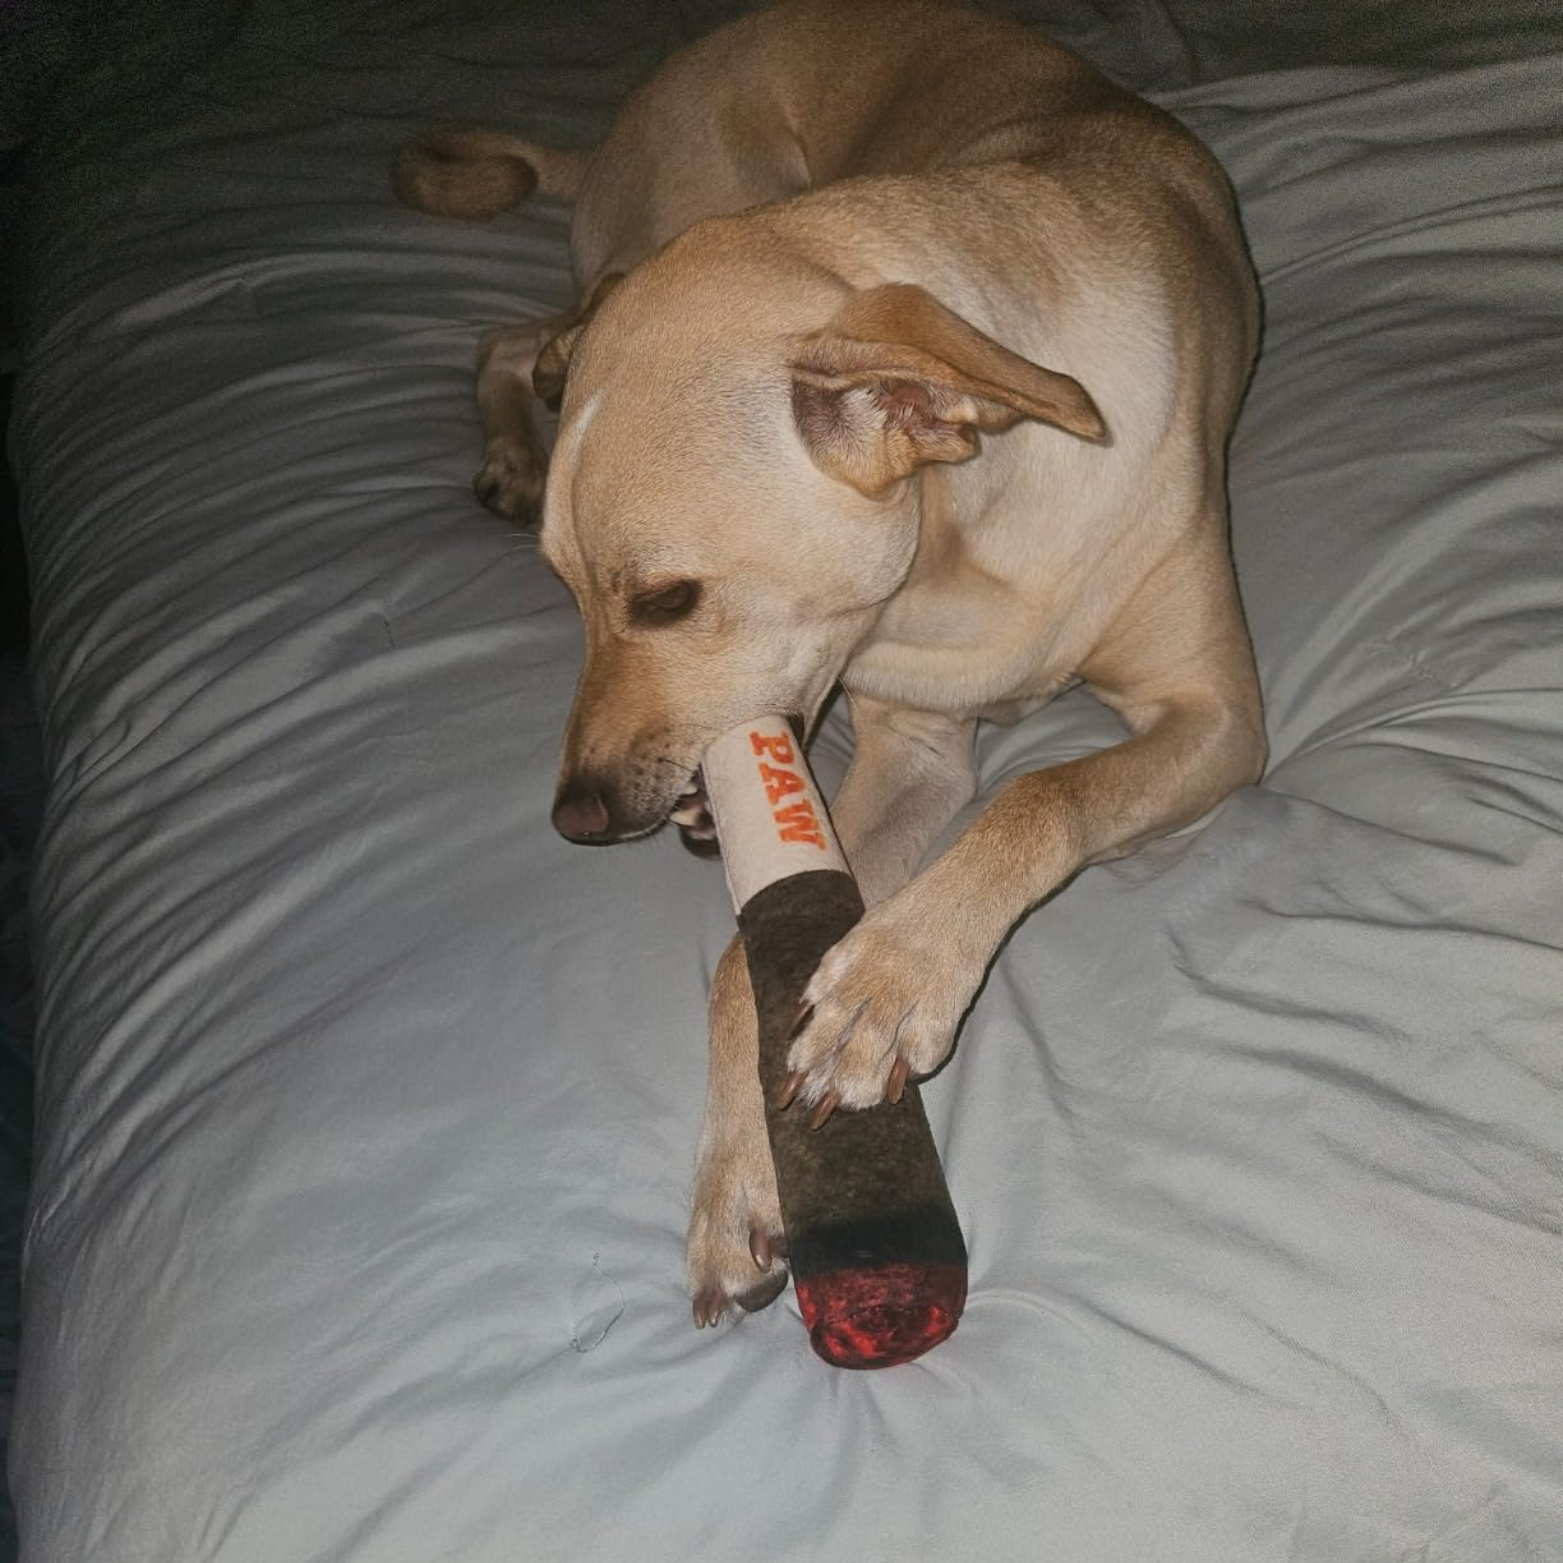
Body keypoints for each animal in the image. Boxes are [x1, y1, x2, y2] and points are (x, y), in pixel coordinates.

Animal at [395, 0, 1266, 1329]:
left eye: (666, 599)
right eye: (562, 594)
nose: (577, 818)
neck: (962, 545)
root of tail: (631, 113)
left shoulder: (1217, 715)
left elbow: (1041, 792)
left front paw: (892, 979)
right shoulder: (913, 747)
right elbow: (740, 964)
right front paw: (738, 1182)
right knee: (514, 329)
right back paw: (513, 437)